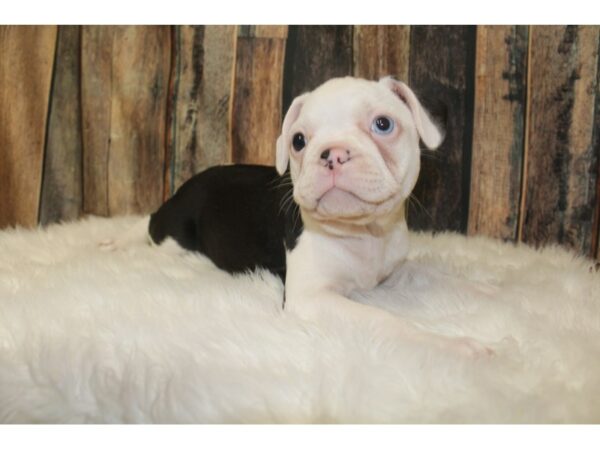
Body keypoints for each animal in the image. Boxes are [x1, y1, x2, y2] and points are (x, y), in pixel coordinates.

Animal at [146, 78, 492, 358]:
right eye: (298, 140)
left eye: (383, 124)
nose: (333, 153)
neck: (362, 232)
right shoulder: (310, 298)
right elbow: (384, 320)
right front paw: (454, 345)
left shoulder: (395, 269)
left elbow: (433, 274)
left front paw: (486, 289)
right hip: (174, 236)